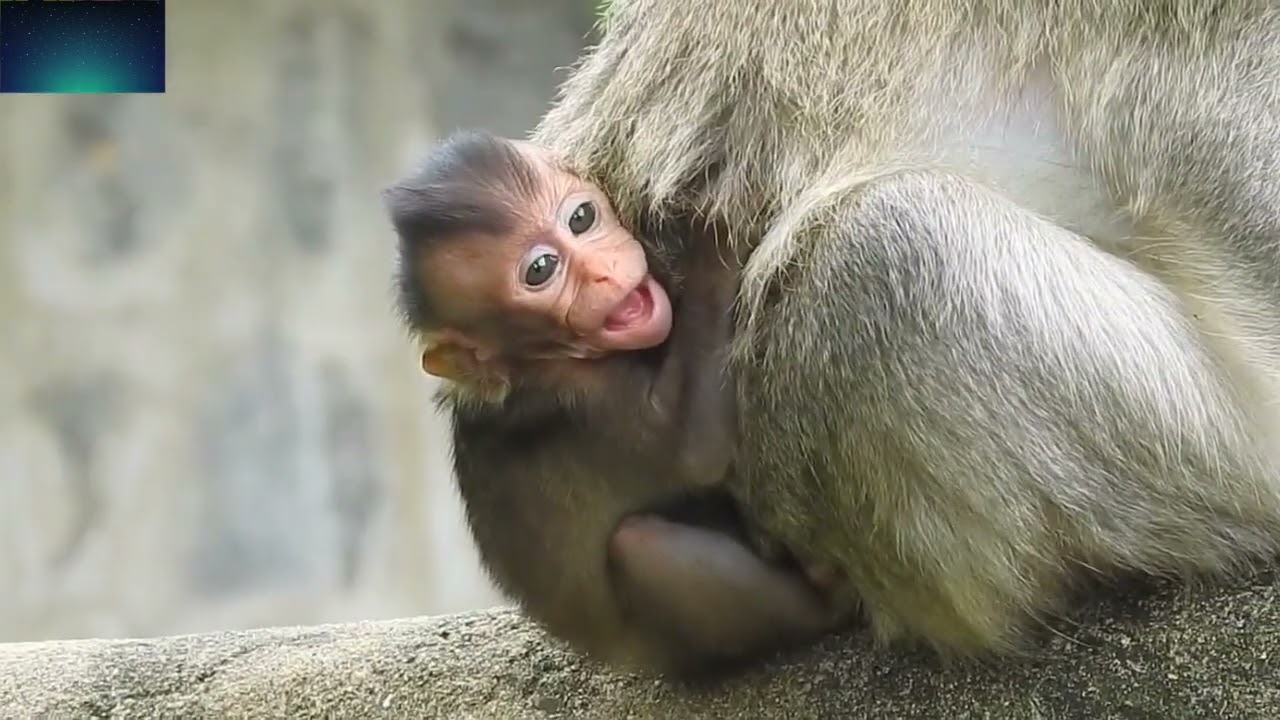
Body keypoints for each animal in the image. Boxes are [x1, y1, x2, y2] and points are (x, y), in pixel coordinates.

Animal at [383, 129, 851, 673]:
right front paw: (711, 242)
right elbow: (694, 454)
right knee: (641, 547)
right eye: (541, 269)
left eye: (581, 218)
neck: (542, 360)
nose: (603, 271)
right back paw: (827, 604)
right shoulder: (588, 402)